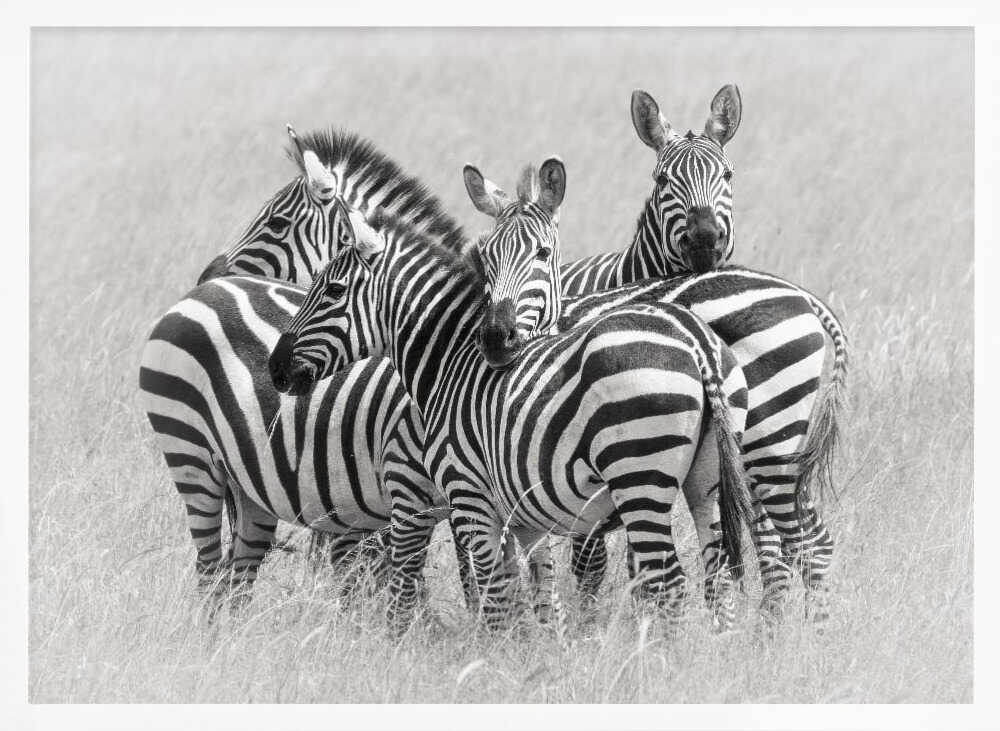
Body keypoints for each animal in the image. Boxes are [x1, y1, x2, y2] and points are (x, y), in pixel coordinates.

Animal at [269, 206, 756, 631]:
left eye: (332, 290)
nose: (275, 369)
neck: (450, 362)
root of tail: (695, 341)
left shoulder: (469, 497)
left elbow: (494, 597)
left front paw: (492, 659)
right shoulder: (522, 514)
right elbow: (538, 592)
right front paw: (541, 658)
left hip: (639, 477)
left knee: (668, 582)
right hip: (706, 482)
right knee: (716, 576)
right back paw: (715, 654)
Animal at [464, 86, 848, 622]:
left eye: (728, 175)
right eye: (662, 179)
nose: (705, 240)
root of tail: (805, 298)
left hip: (766, 439)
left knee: (789, 542)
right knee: (802, 540)